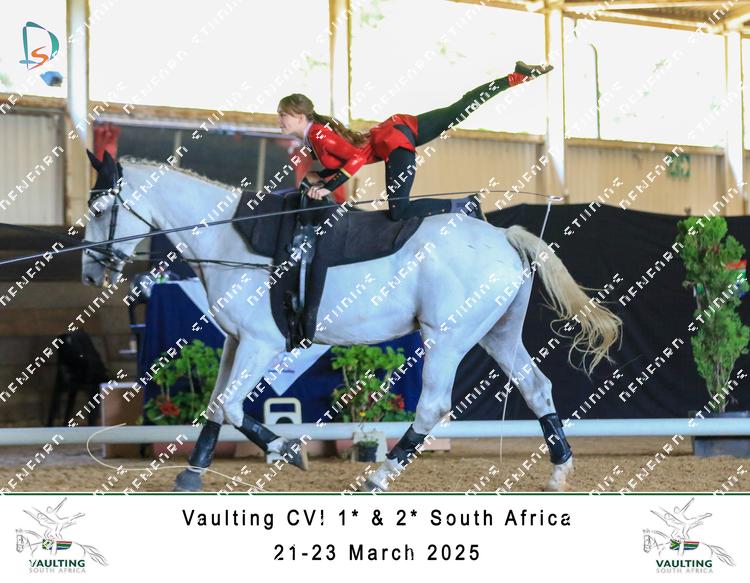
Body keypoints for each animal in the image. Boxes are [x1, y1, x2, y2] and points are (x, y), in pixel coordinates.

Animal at [81, 150, 622, 492]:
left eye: (100, 208)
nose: (89, 271)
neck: (228, 237)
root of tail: (504, 237)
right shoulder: (236, 341)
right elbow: (216, 405)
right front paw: (192, 473)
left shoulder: (260, 343)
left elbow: (233, 406)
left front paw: (286, 452)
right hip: (497, 334)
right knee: (537, 388)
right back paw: (558, 472)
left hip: (446, 340)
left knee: (432, 407)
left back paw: (379, 476)